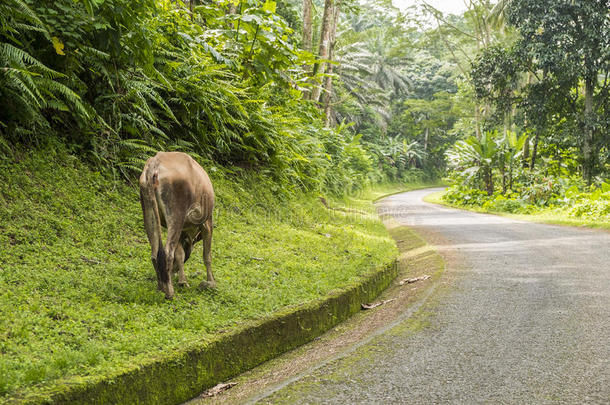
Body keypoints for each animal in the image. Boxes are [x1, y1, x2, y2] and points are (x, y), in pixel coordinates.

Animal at [139, 151, 215, 296]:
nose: (173, 271)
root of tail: (156, 161)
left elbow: (180, 254)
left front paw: (182, 281)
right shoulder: (207, 223)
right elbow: (206, 255)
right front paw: (211, 281)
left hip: (148, 210)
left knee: (155, 253)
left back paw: (161, 287)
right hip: (176, 216)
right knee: (168, 252)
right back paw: (169, 293)